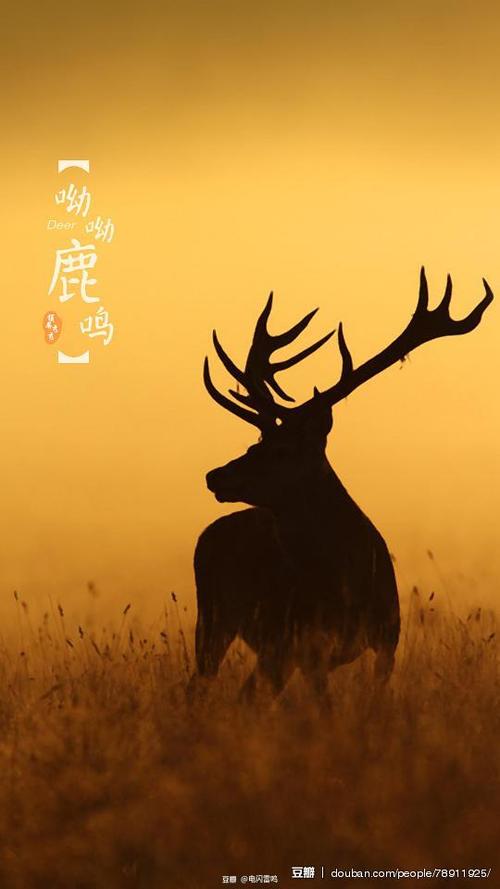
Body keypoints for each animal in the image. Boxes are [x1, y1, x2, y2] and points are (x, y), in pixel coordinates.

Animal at [191, 268, 493, 705]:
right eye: (256, 442)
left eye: (280, 449)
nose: (215, 475)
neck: (345, 580)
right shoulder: (305, 646)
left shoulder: (385, 641)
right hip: (216, 619)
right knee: (198, 686)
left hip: (265, 645)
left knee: (246, 693)